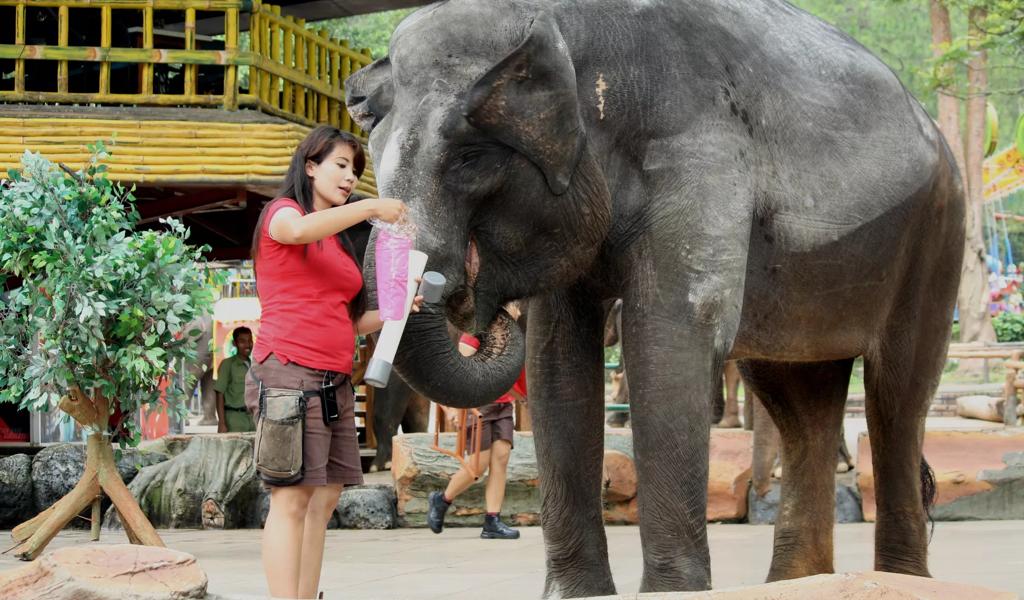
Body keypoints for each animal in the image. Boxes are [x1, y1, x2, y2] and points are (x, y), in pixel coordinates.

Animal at [348, 0, 962, 589]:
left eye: (470, 159)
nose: (465, 299)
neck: (559, 25)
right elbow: (556, 361)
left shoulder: (696, 152)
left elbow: (667, 340)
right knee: (799, 401)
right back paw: (799, 581)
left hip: (936, 236)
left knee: (896, 399)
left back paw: (897, 578)